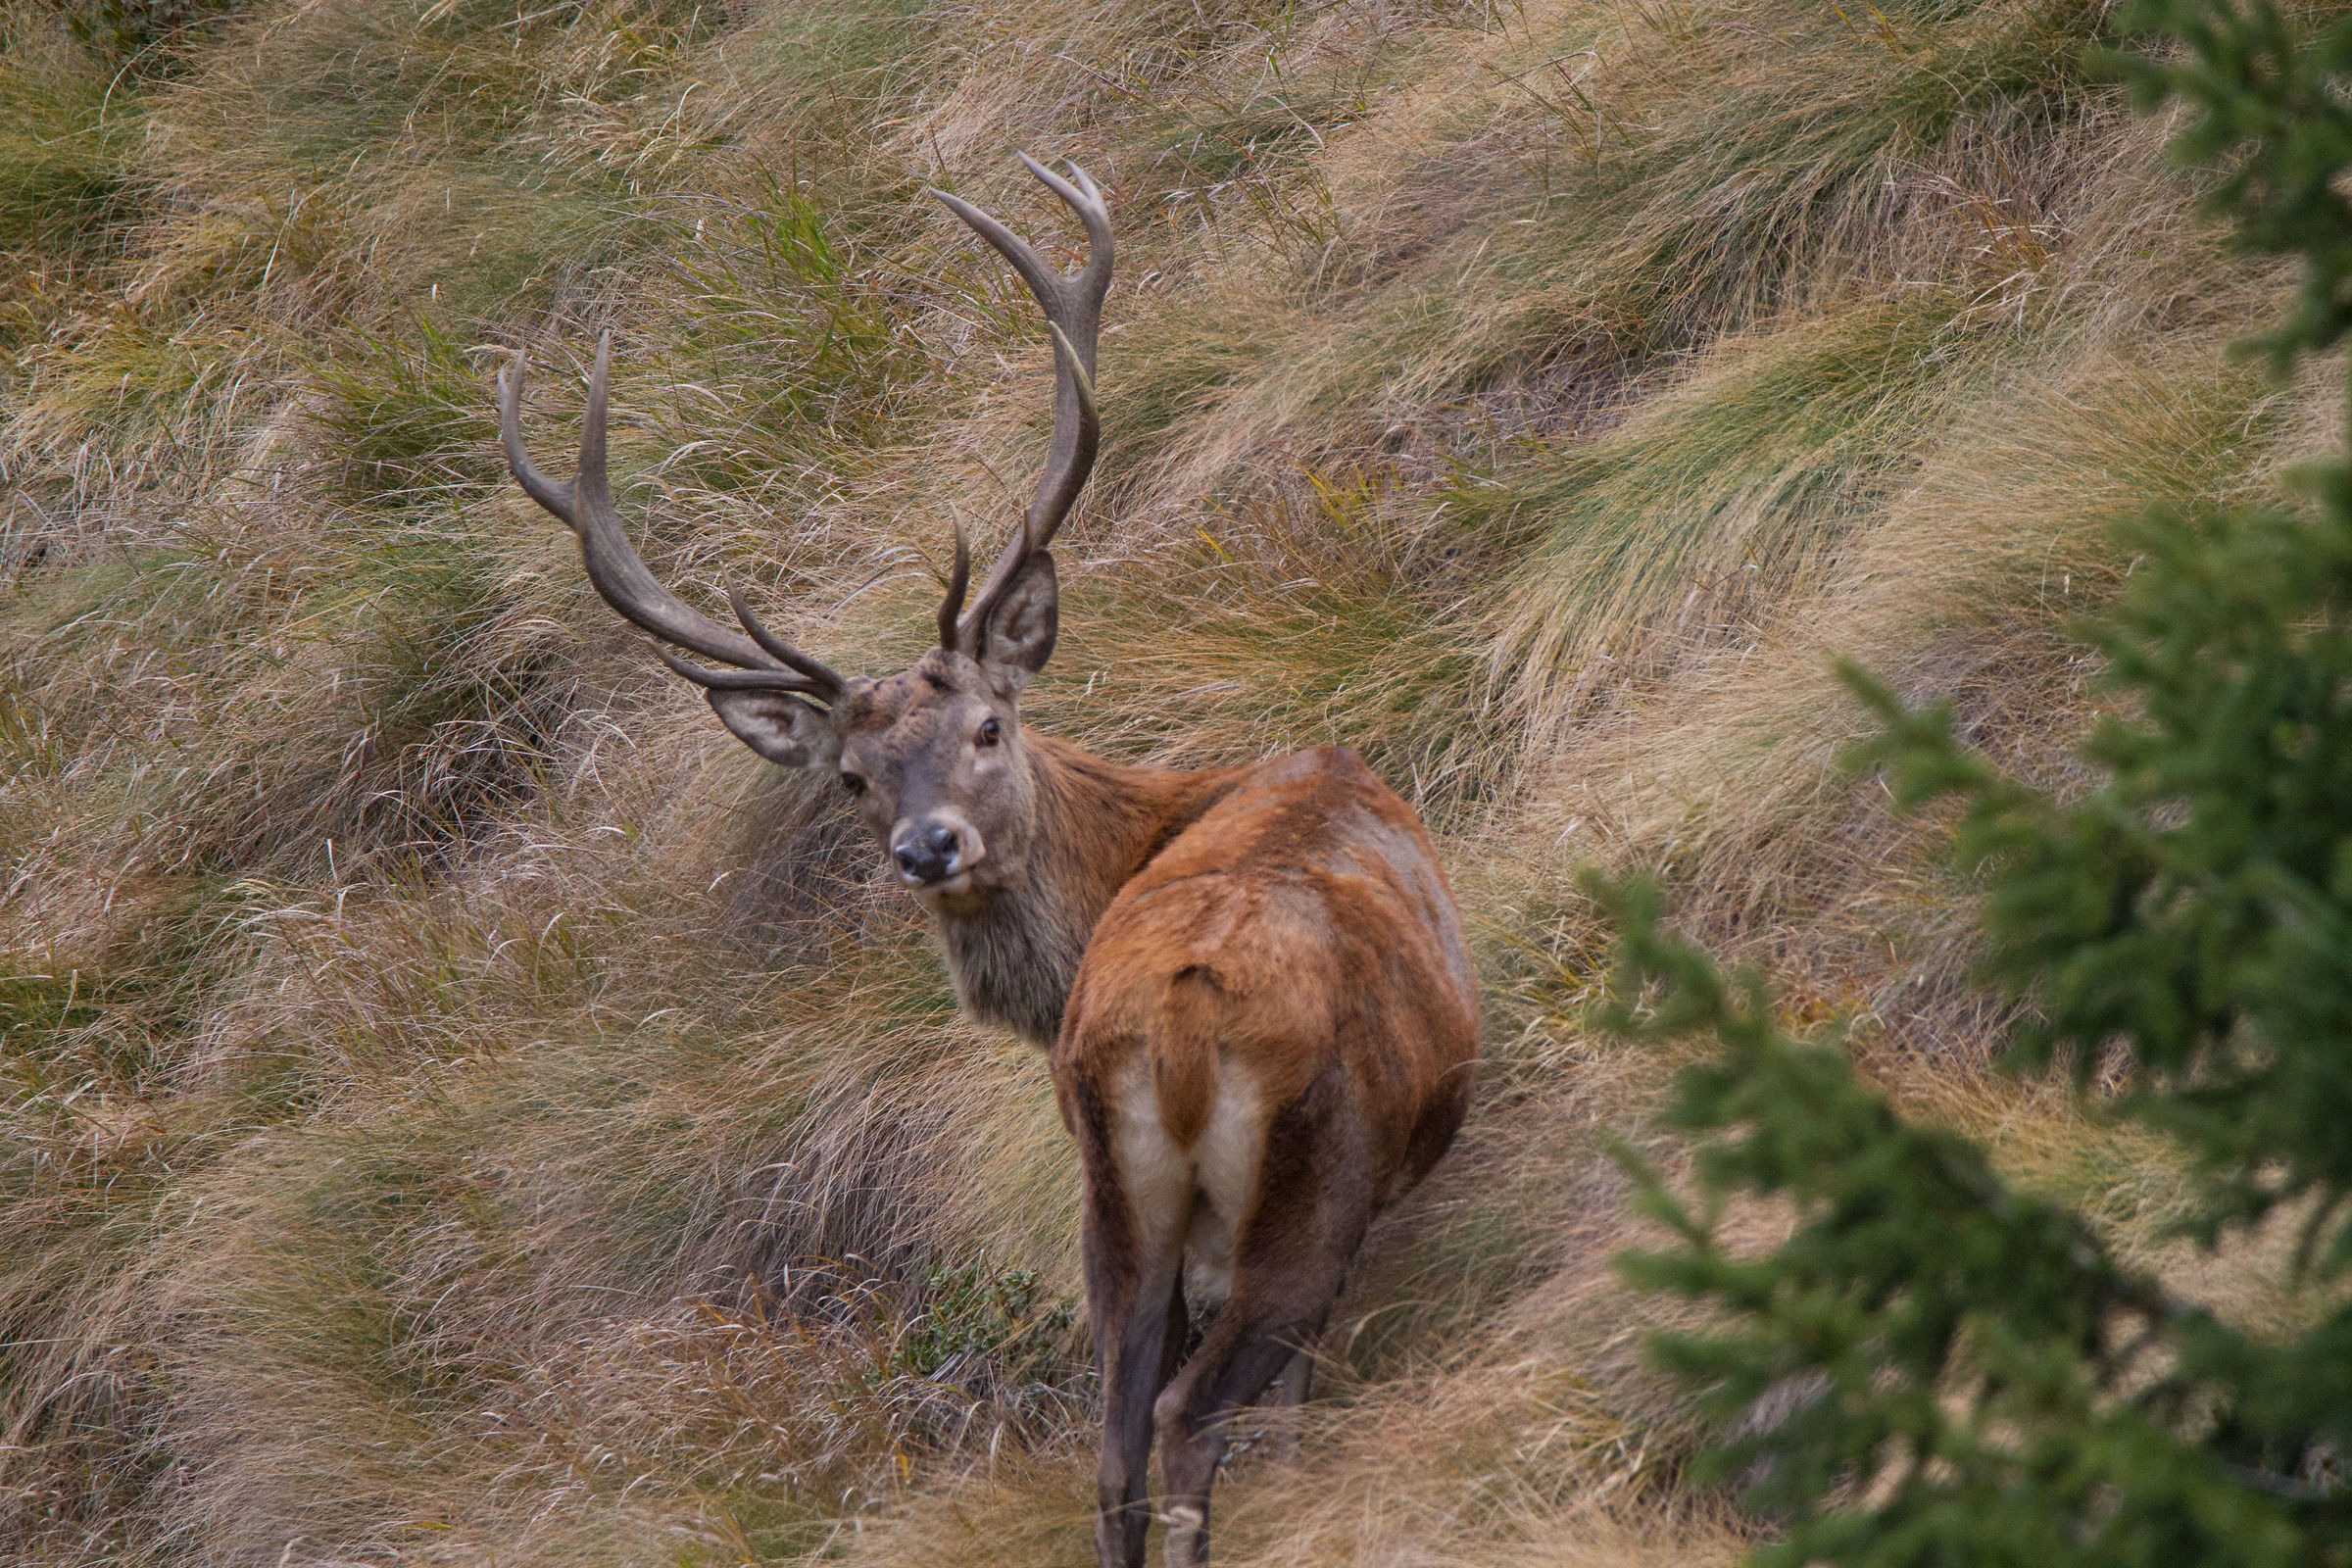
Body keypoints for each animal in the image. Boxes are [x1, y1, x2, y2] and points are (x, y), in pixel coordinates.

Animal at [495, 156, 1478, 1568]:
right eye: (853, 778)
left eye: (986, 726)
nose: (926, 845)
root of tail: (1180, 1025)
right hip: (1308, 1194)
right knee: (1189, 1416)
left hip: (1111, 1199)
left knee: (1112, 1442)